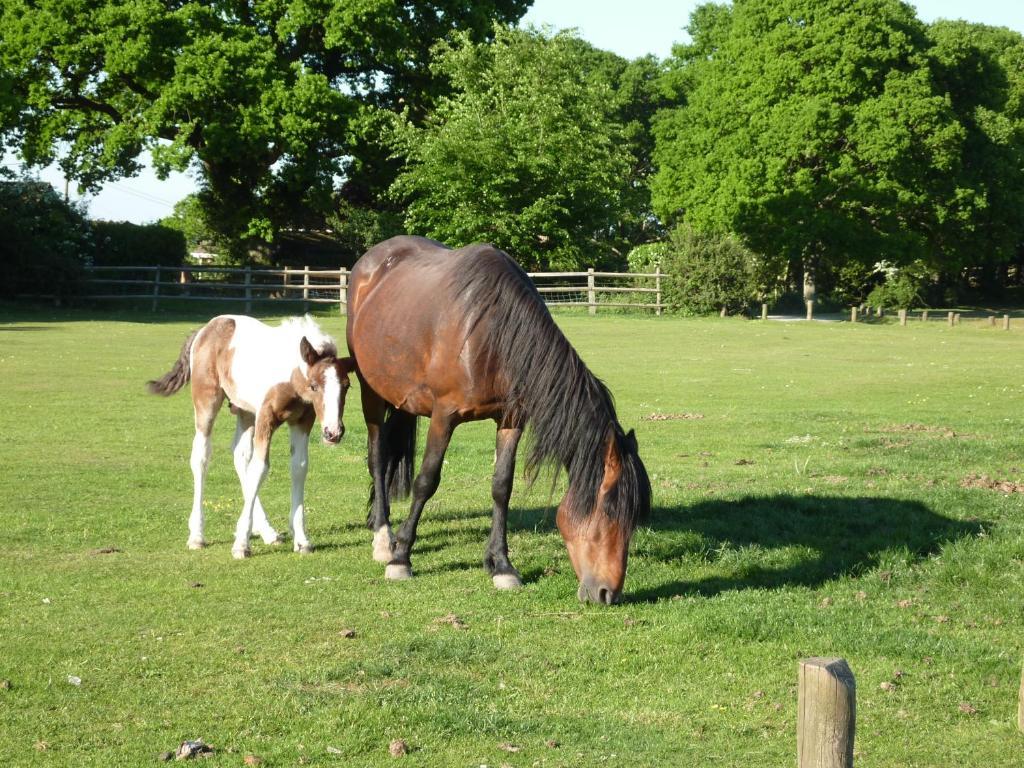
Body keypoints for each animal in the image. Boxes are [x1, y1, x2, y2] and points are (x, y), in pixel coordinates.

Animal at [146, 313, 356, 561]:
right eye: (314, 386)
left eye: (347, 386)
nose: (333, 432)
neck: (290, 377)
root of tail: (206, 328)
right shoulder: (265, 417)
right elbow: (260, 468)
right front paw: (241, 544)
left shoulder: (302, 421)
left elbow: (299, 467)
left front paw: (302, 540)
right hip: (207, 400)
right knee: (201, 456)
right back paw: (197, 535)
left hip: (244, 410)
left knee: (240, 454)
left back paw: (267, 531)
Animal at [344, 237, 647, 606]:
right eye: (608, 512)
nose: (607, 593)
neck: (490, 331)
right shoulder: (444, 415)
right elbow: (426, 480)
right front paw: (401, 559)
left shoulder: (510, 419)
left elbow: (502, 487)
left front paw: (501, 566)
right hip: (370, 392)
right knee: (377, 456)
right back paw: (383, 536)